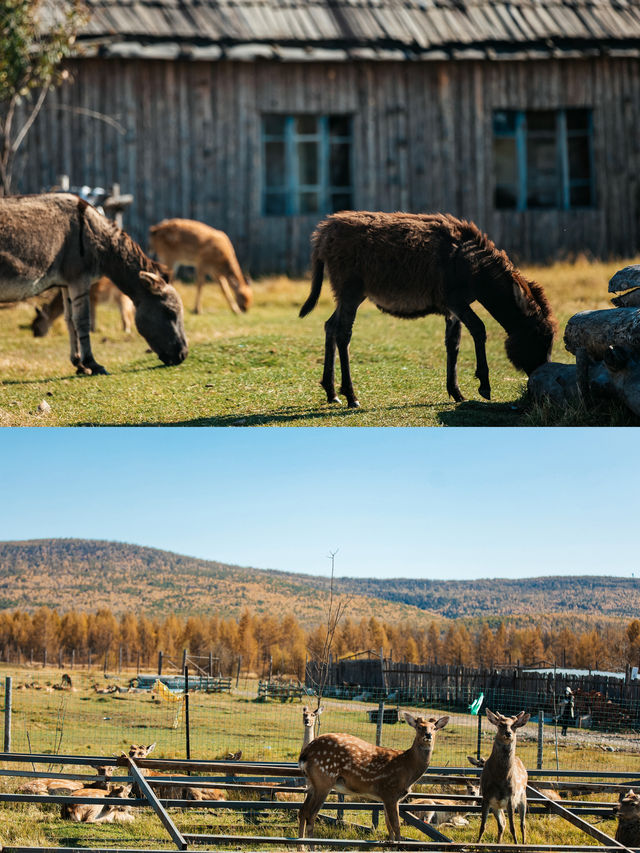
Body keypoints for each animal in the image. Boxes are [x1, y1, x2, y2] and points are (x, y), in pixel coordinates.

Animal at [298, 708, 448, 844]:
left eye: (434, 728)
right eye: (419, 727)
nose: (428, 735)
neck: (408, 768)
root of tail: (305, 754)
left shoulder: (387, 797)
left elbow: (389, 827)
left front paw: (390, 844)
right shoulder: (390, 792)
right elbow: (396, 828)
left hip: (311, 783)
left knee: (303, 811)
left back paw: (301, 845)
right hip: (324, 779)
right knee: (311, 814)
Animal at [478, 708, 528, 844]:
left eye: (514, 725)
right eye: (500, 724)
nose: (508, 733)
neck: (500, 778)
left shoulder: (511, 798)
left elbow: (513, 828)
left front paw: (516, 845)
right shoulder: (486, 797)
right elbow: (482, 826)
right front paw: (476, 843)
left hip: (522, 797)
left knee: (522, 824)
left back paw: (524, 843)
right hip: (497, 806)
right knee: (502, 825)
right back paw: (498, 843)